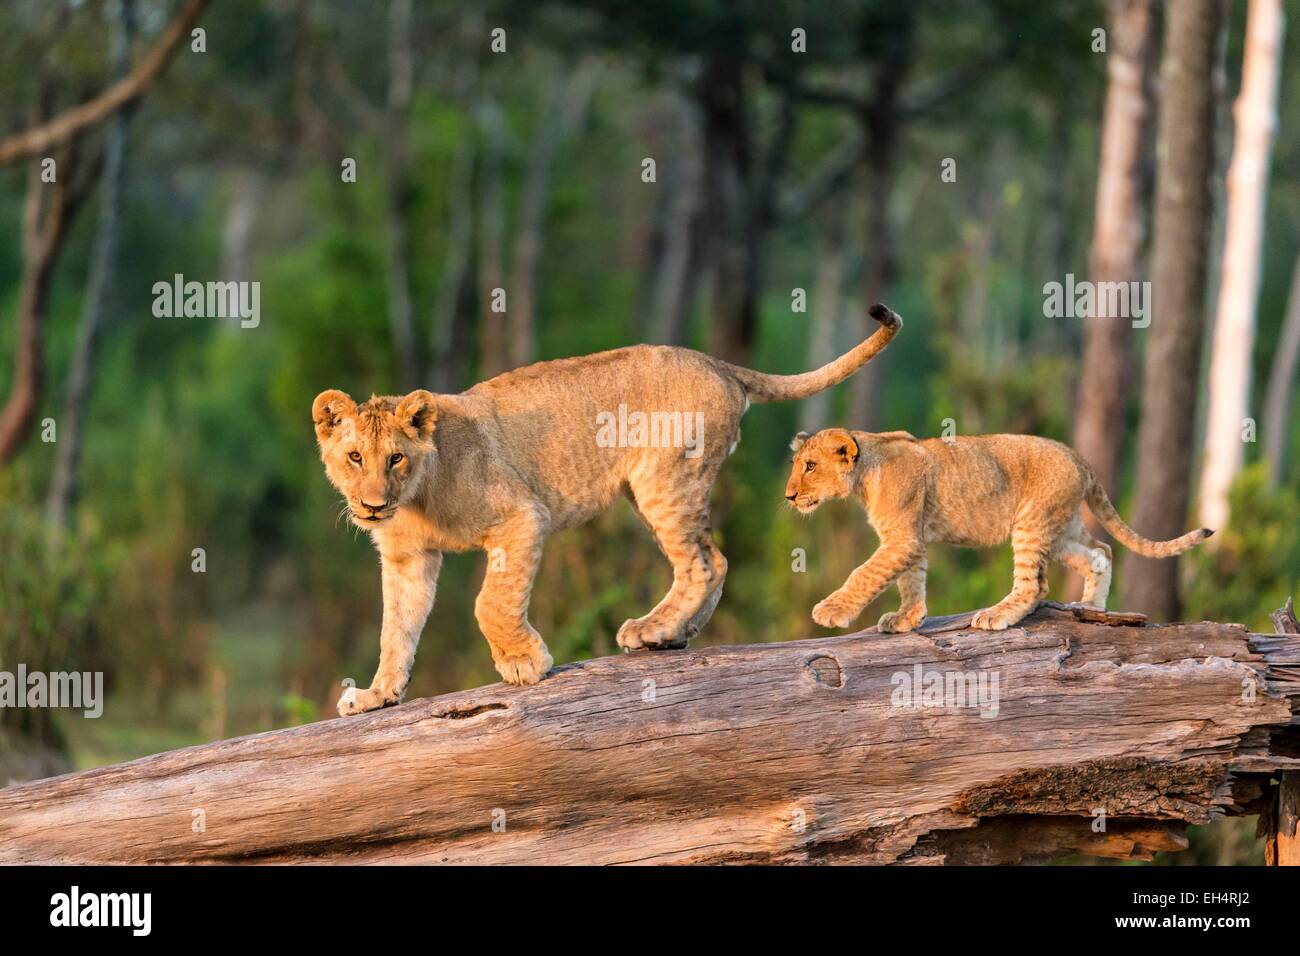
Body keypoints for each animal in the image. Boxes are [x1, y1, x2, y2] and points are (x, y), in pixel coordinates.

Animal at [314, 305, 902, 715]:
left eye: (396, 458)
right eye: (354, 457)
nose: (371, 506)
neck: (414, 501)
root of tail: (714, 362)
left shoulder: (520, 517)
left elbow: (489, 602)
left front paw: (523, 662)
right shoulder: (407, 559)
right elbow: (396, 629)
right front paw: (376, 695)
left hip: (663, 481)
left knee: (704, 562)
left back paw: (651, 630)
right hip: (652, 492)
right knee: (715, 560)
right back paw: (674, 635)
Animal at [785, 429, 1212, 633]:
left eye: (809, 466)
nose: (788, 496)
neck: (864, 475)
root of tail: (1078, 456)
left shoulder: (901, 537)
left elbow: (865, 573)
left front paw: (831, 611)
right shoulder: (911, 538)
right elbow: (911, 580)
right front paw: (908, 618)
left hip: (1030, 521)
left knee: (1035, 585)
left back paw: (998, 615)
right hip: (1058, 527)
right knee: (1100, 552)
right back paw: (1092, 607)